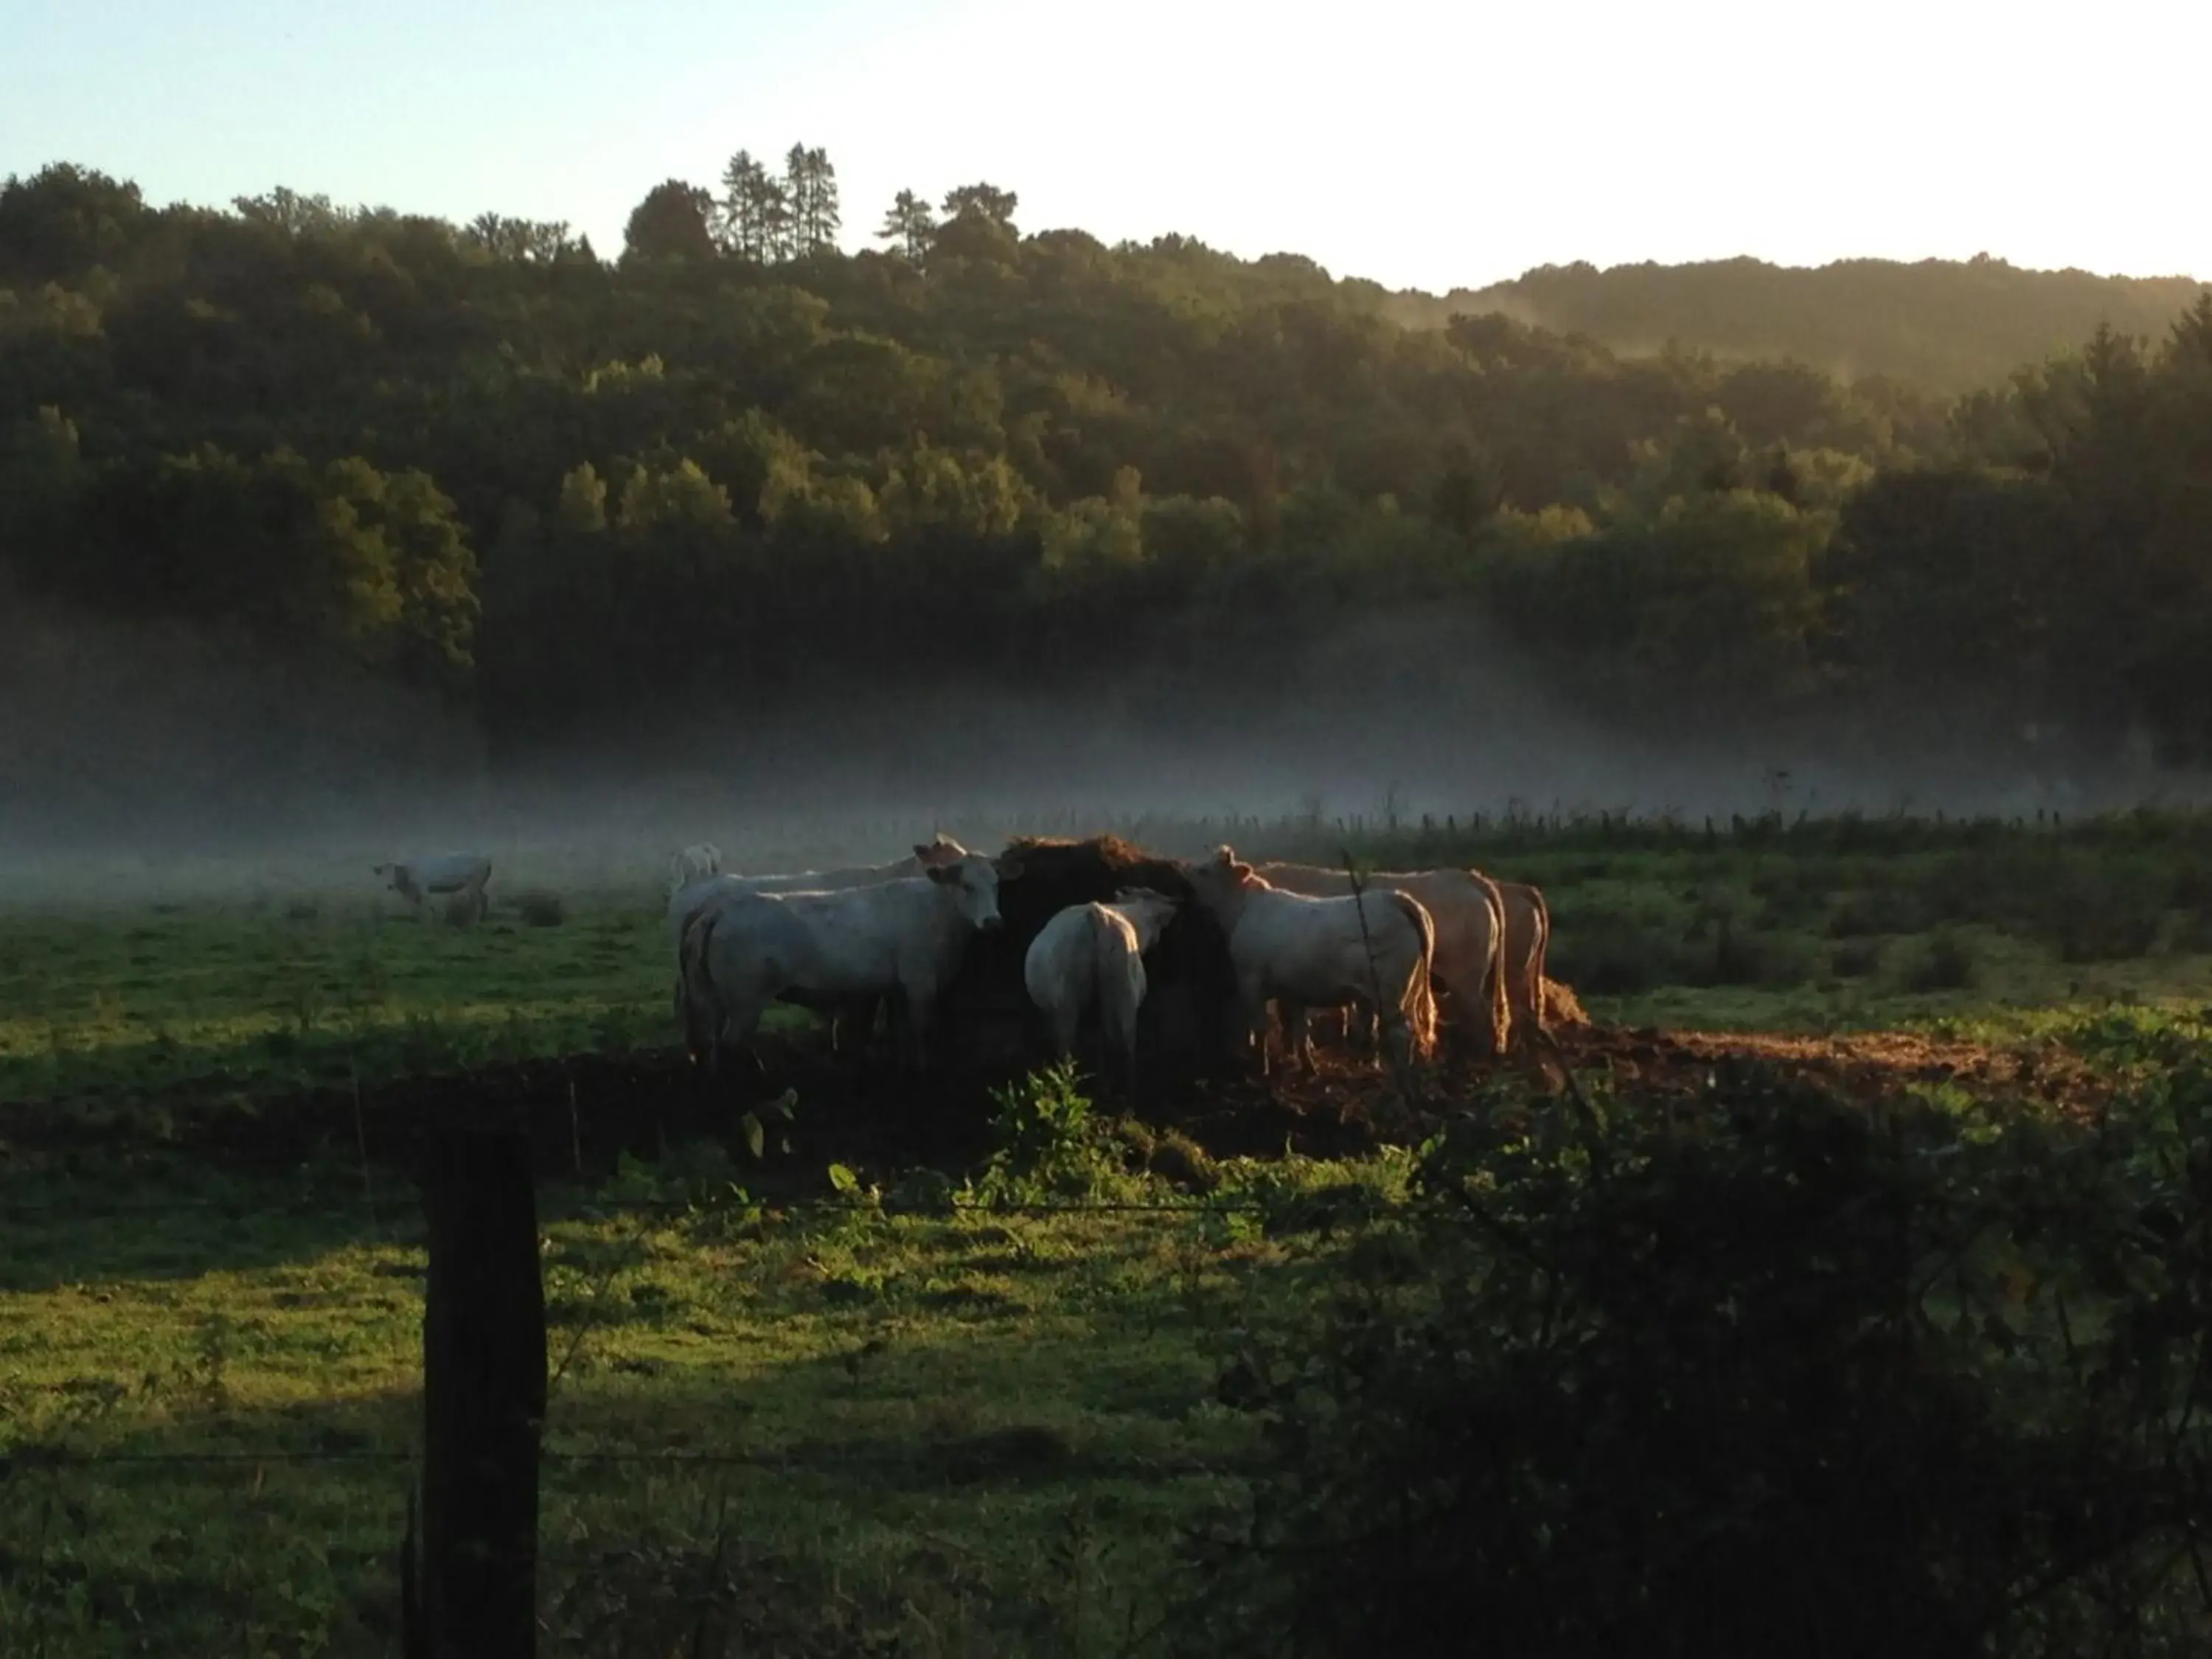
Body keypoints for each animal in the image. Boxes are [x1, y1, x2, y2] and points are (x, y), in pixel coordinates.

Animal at [374, 858, 491, 925]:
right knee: (484, 897)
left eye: (397, 874)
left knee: (477, 901)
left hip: (474, 884)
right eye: (384, 874)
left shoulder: (423, 892)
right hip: (479, 885)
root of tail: (486, 860)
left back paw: (476, 920)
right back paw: (483, 918)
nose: (389, 885)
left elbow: (422, 908)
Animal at [677, 849, 1022, 1084]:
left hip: (713, 998)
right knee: (732, 1043)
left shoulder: (896, 989)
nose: (994, 922)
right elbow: (921, 1031)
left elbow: (900, 1033)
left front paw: (904, 1068)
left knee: (710, 1043)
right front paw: (923, 1073)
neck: (937, 910)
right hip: (746, 1002)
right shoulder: (921, 983)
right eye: (966, 885)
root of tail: (719, 910)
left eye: (996, 884)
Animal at [1026, 885, 1186, 1106]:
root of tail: (1096, 915)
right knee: (1123, 1044)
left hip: (1071, 1003)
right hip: (1121, 994)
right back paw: (1122, 1098)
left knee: (1071, 1050)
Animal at [1186, 845, 1442, 1079]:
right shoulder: (1292, 991)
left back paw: (1404, 1080)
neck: (1244, 909)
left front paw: (1262, 1068)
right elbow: (1300, 1030)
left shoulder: (1250, 981)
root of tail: (1395, 897)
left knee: (1402, 1033)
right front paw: (1307, 1066)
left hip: (1388, 992)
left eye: (1204, 871)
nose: (1184, 872)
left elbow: (1260, 1027)